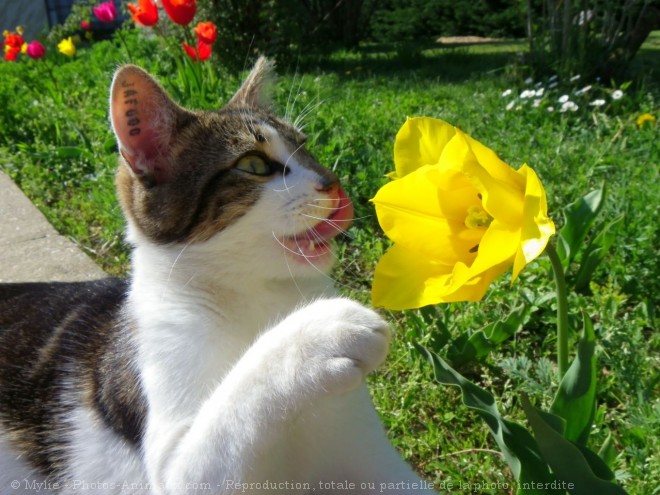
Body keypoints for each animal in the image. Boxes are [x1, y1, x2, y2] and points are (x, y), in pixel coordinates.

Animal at [1, 59, 438, 495]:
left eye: (305, 145)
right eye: (254, 165)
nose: (333, 184)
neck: (258, 293)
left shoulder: (378, 465)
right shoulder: (174, 467)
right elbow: (231, 408)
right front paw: (323, 329)